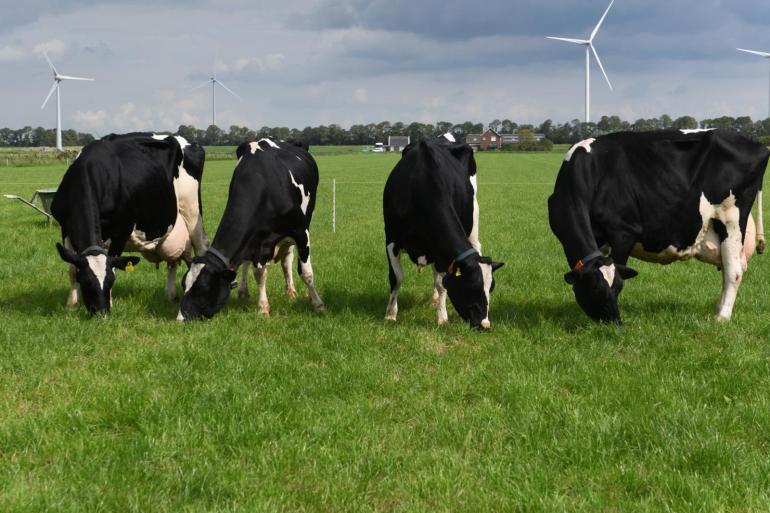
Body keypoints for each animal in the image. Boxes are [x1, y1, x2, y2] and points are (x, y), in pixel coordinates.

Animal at [51, 132, 208, 314]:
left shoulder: (122, 230)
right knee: (173, 260)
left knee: (201, 247)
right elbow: (71, 268)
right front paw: (72, 304)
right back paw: (170, 295)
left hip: (192, 210)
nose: (101, 312)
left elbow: (113, 265)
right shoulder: (65, 228)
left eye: (110, 281)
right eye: (86, 282)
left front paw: (110, 302)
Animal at [178, 138, 324, 318]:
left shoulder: (301, 233)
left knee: (287, 260)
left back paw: (291, 290)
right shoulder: (257, 240)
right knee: (252, 262)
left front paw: (317, 304)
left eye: (203, 289)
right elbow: (259, 273)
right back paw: (244, 291)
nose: (180, 317)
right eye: (184, 284)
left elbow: (306, 272)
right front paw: (263, 307)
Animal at [380, 134, 500, 330]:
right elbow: (396, 277)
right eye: (472, 286)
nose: (485, 324)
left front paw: (442, 317)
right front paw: (390, 314)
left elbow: (442, 284)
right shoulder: (391, 239)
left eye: (491, 289)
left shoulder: (443, 253)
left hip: (473, 221)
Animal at [544, 128, 768, 322]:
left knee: (734, 272)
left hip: (731, 220)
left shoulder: (623, 233)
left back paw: (721, 318)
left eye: (617, 288)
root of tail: (759, 145)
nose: (615, 324)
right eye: (595, 289)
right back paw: (718, 309)